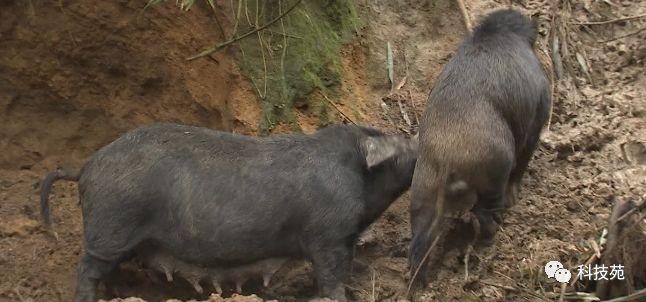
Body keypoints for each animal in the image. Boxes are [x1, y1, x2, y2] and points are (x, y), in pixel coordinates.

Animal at [39, 122, 420, 302]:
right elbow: (331, 275)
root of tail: (86, 167)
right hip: (112, 223)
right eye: (402, 146)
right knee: (87, 268)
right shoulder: (328, 234)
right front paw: (339, 296)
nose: (418, 142)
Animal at [410, 8, 552, 288]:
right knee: (485, 211)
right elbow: (523, 161)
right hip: (494, 176)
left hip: (422, 195)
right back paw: (493, 234)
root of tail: (447, 162)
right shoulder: (536, 118)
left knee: (418, 244)